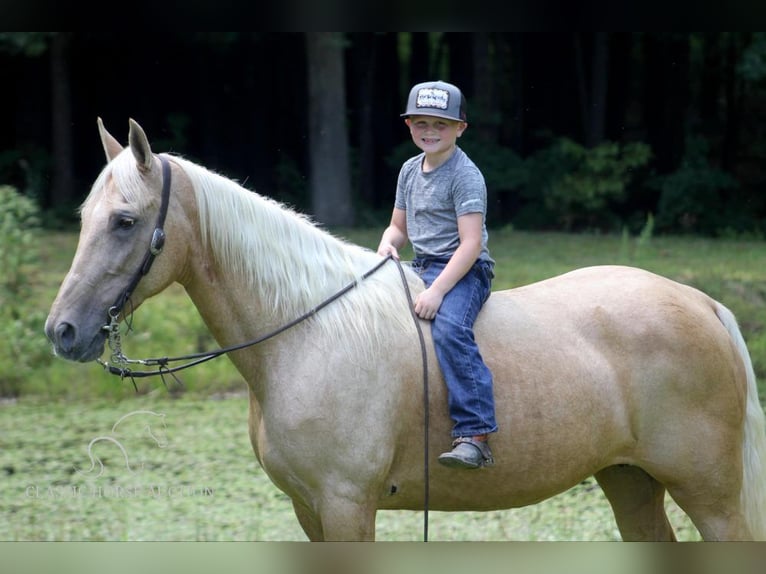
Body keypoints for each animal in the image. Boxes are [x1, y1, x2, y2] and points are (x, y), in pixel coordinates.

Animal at [45, 119, 766, 544]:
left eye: (125, 222)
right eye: (85, 217)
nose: (63, 331)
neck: (307, 335)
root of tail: (704, 304)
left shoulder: (346, 505)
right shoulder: (310, 510)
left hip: (712, 499)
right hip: (630, 480)